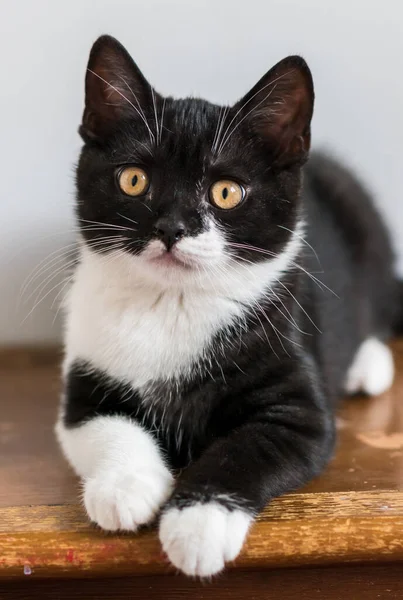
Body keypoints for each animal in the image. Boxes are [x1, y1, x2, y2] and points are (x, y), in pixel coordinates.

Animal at [55, 34, 402, 576]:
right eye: (133, 180)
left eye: (226, 192)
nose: (172, 227)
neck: (172, 305)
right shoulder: (84, 383)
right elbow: (102, 426)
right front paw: (124, 487)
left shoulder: (297, 406)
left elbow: (243, 450)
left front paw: (198, 524)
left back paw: (367, 364)